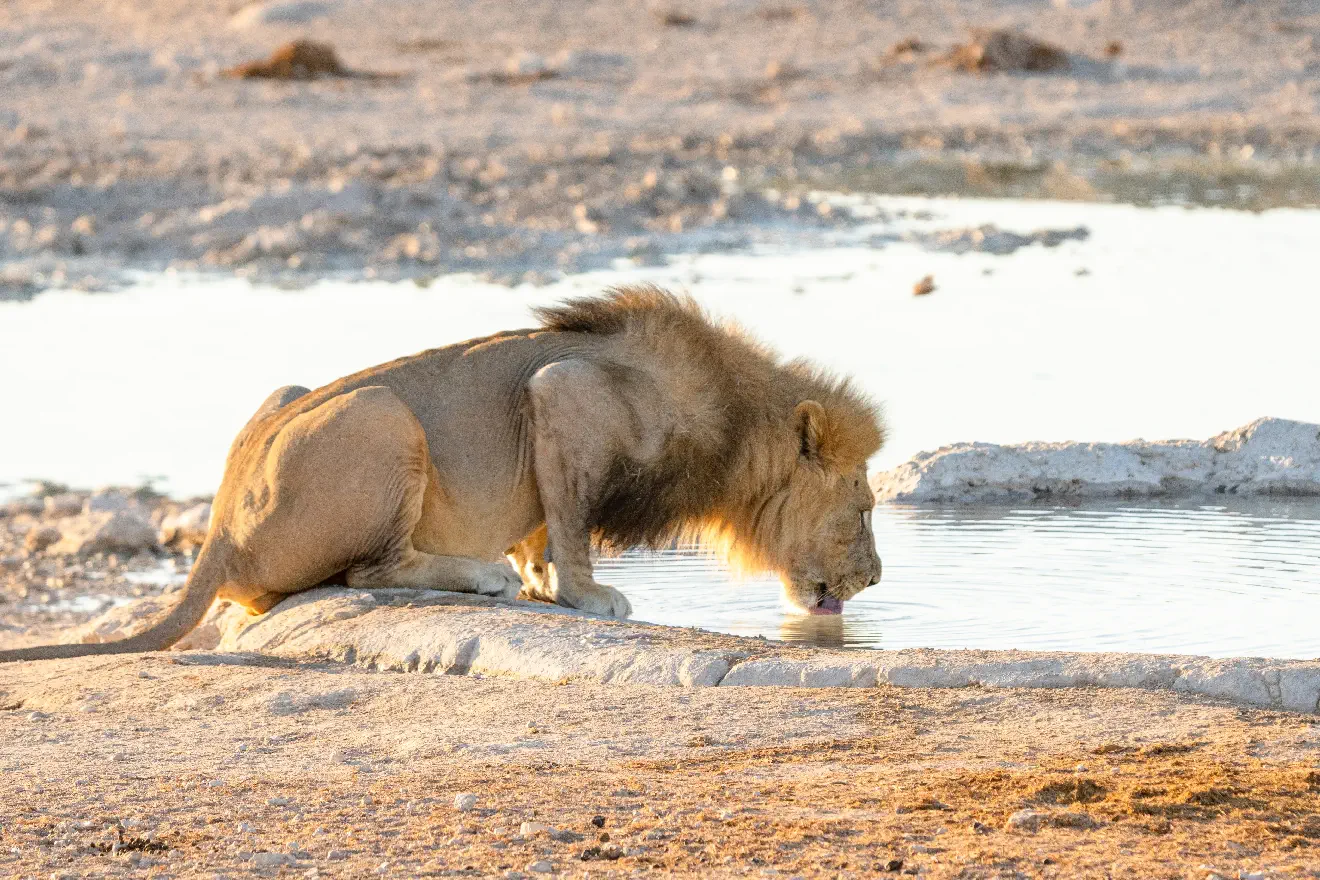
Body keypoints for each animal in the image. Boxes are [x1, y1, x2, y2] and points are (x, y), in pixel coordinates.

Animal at [0, 286, 885, 663]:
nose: (876, 578)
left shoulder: (553, 425)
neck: (735, 424)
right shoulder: (562, 392)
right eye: (867, 504)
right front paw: (582, 593)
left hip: (294, 394)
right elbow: (572, 526)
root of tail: (219, 526)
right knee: (370, 569)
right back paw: (479, 575)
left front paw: (539, 579)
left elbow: (544, 526)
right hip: (385, 415)